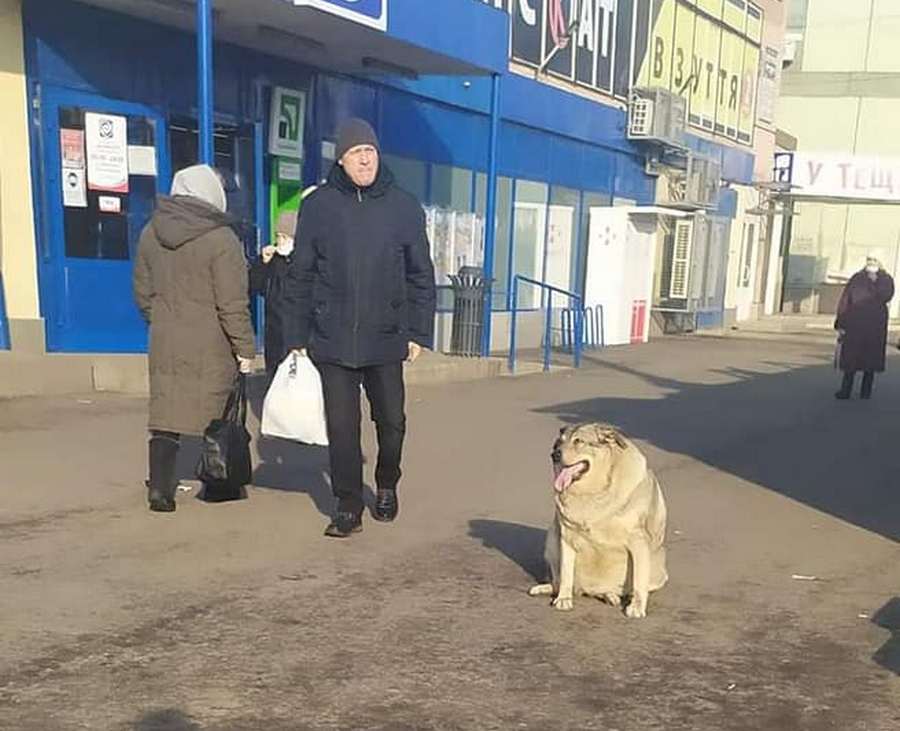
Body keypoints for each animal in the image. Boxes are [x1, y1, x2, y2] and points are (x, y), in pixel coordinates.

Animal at [528, 424, 668, 616]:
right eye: (559, 442)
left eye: (579, 441)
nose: (554, 454)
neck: (593, 493)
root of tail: (586, 590)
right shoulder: (566, 537)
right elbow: (565, 575)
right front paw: (563, 599)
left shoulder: (638, 540)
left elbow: (639, 582)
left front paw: (636, 607)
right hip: (552, 538)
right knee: (559, 582)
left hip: (658, 568)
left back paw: (612, 596)